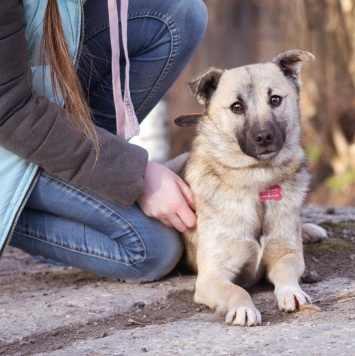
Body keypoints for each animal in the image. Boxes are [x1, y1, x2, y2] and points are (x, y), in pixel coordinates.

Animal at [168, 50, 328, 326]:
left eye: (275, 99)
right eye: (236, 107)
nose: (264, 137)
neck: (257, 182)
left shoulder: (287, 255)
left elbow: (286, 274)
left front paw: (293, 292)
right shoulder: (212, 275)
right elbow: (236, 290)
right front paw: (243, 307)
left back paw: (309, 230)